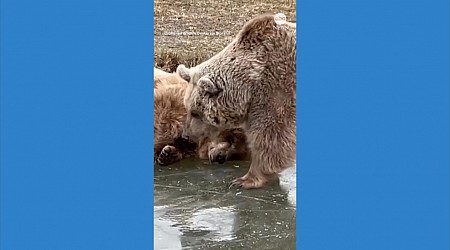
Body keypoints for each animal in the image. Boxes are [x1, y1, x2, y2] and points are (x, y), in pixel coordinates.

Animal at [178, 14, 298, 189]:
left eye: (195, 113)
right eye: (187, 108)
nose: (186, 136)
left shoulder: (277, 90)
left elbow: (271, 136)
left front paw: (246, 179)